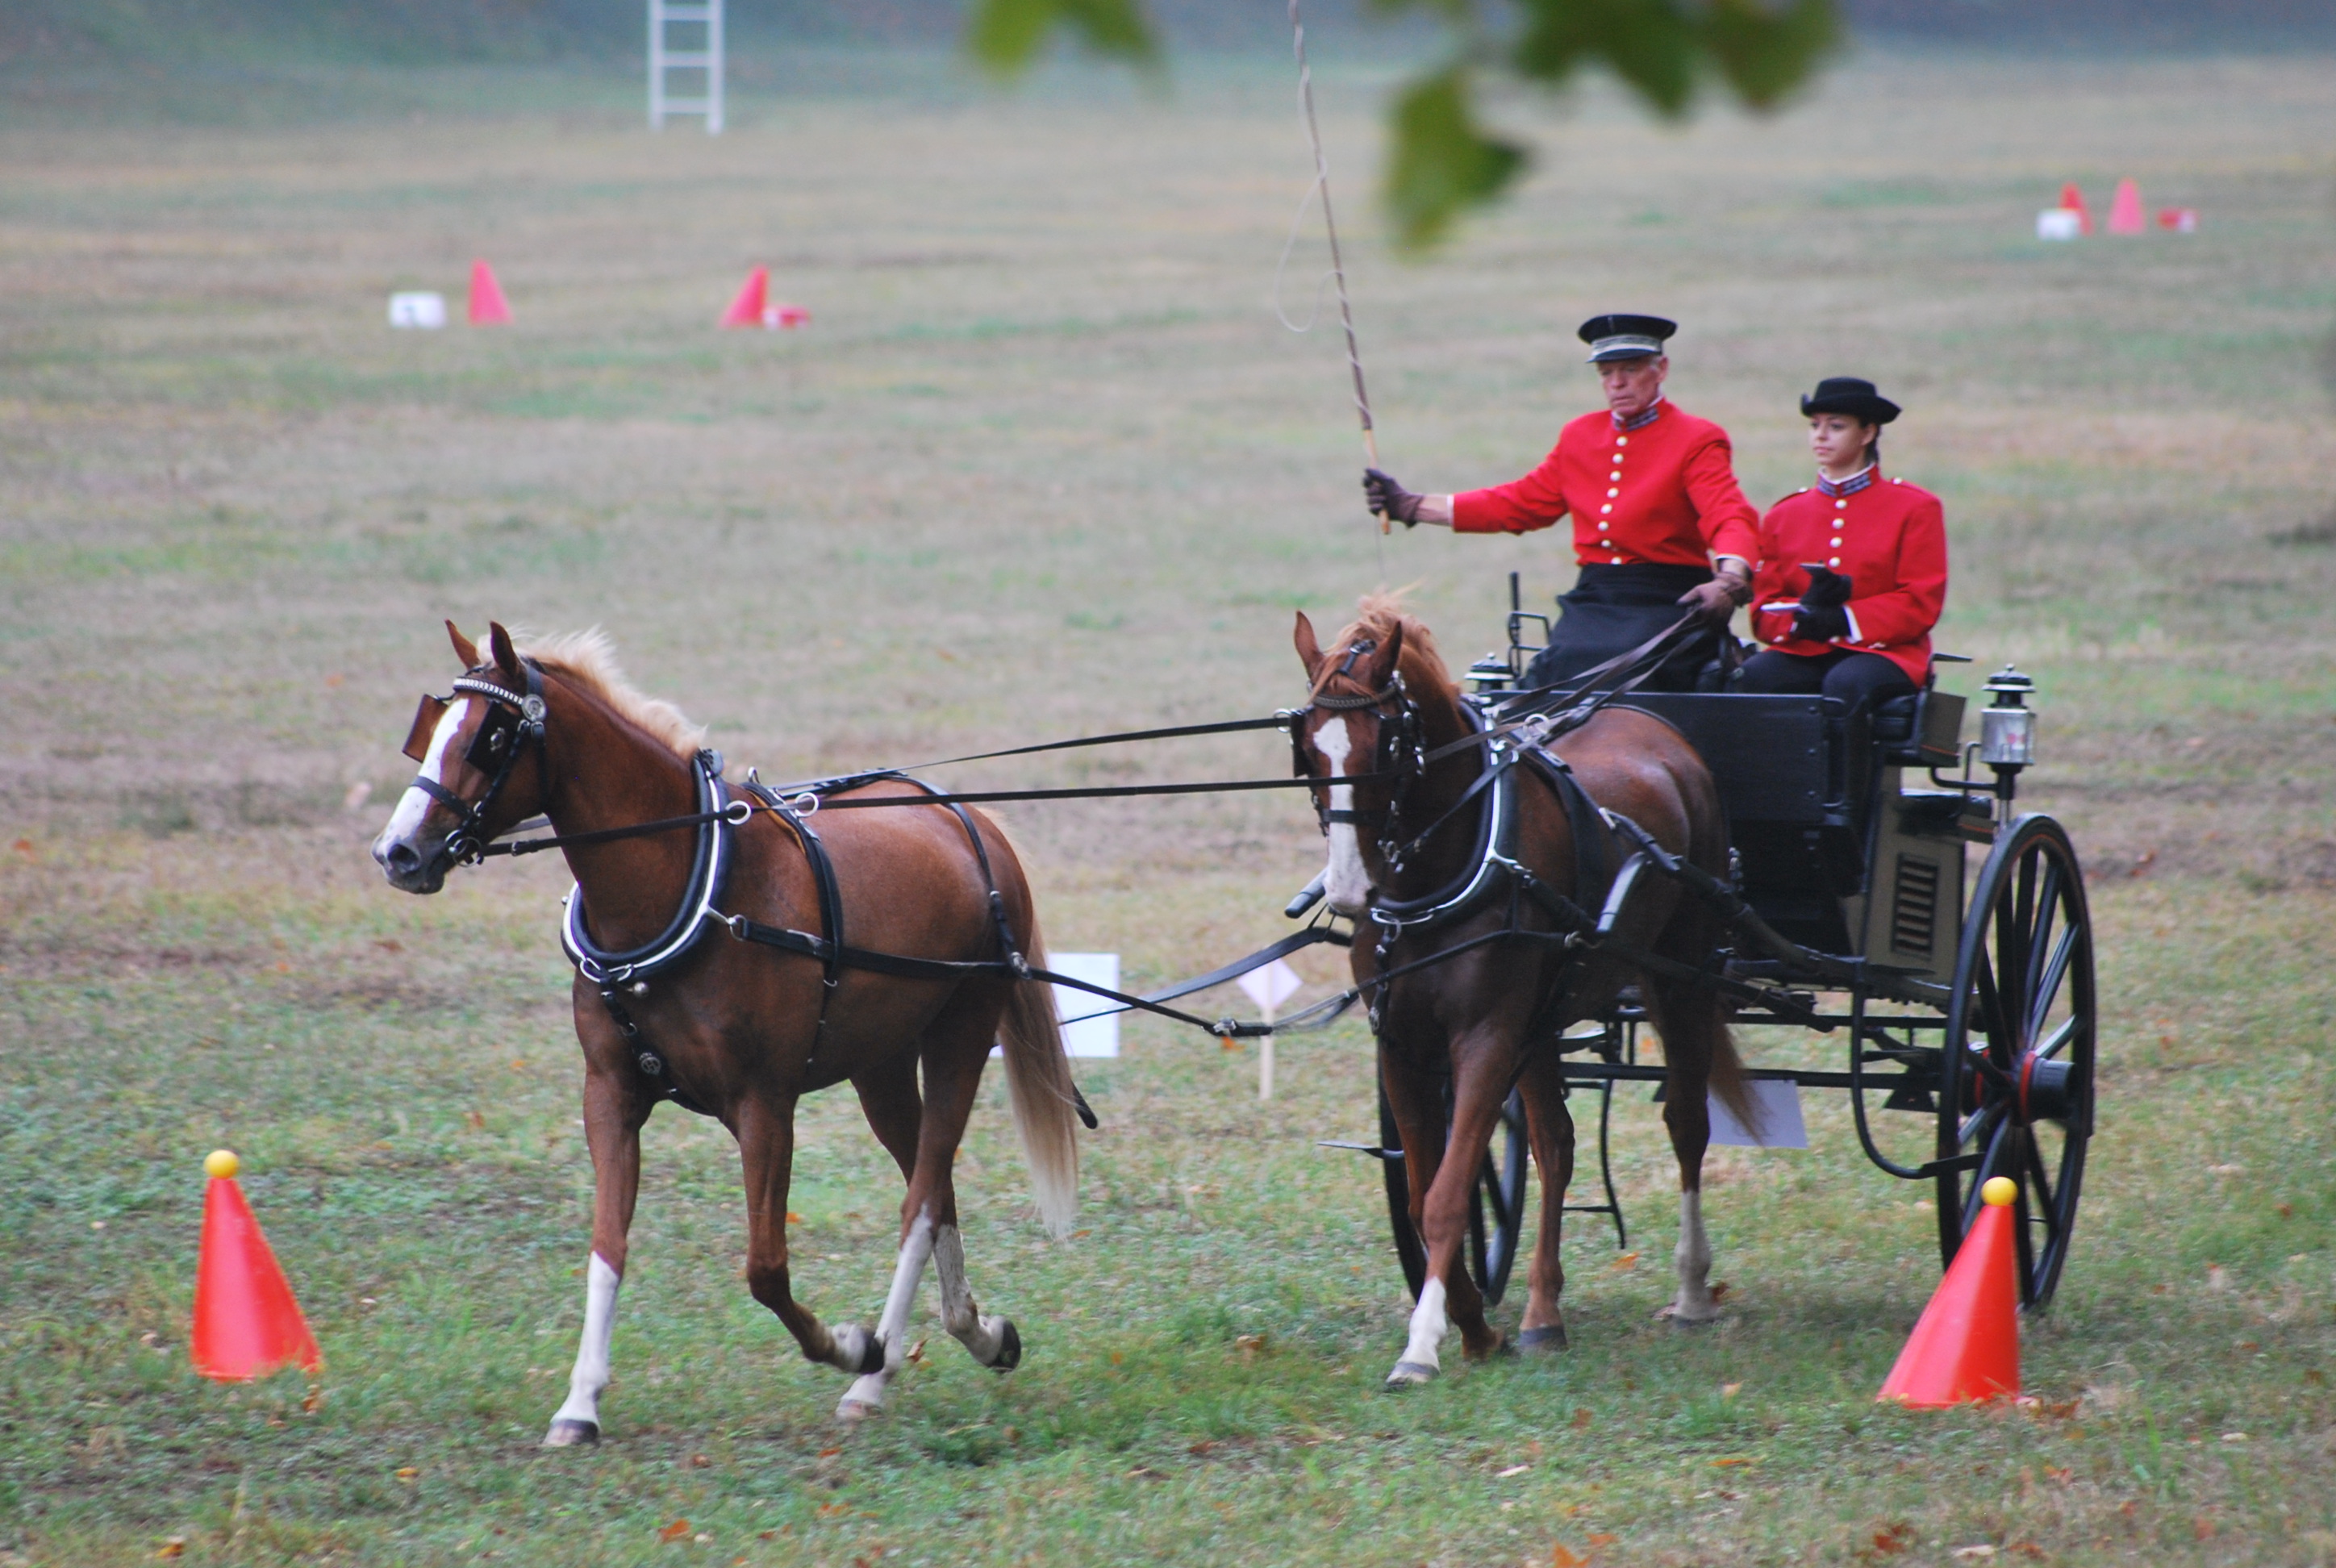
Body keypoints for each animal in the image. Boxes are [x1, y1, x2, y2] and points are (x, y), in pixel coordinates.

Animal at [373, 621, 1083, 1439]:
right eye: (429, 729)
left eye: (489, 737)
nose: (397, 853)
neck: (691, 883)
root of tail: (969, 821)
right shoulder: (609, 1096)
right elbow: (607, 1247)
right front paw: (580, 1402)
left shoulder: (764, 1104)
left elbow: (765, 1269)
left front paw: (851, 1345)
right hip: (880, 1066)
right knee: (934, 1190)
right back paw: (976, 1333)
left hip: (960, 1041)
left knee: (922, 1200)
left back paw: (876, 1374)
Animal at [1299, 595, 1756, 1383]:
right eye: (1307, 748)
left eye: (1384, 746)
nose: (1351, 890)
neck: (1443, 873)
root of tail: (1656, 726)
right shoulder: (1402, 1042)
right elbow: (1423, 1194)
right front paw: (1475, 1323)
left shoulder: (1487, 1035)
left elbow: (1450, 1194)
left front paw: (1425, 1343)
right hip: (1546, 1017)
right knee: (1557, 1144)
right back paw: (1543, 1313)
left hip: (1680, 981)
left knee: (1686, 1123)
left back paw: (1694, 1289)